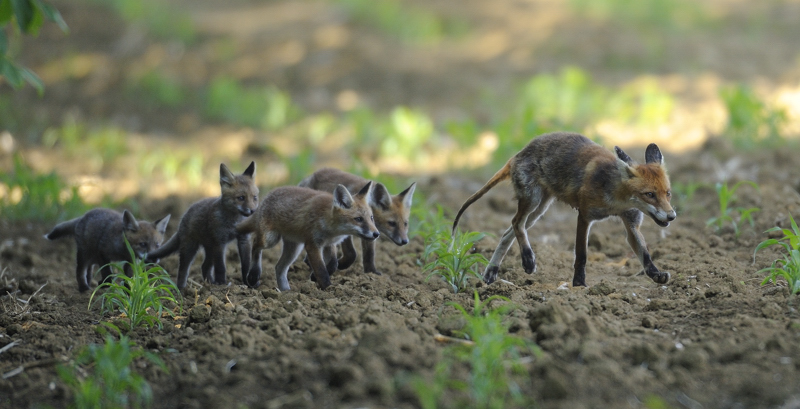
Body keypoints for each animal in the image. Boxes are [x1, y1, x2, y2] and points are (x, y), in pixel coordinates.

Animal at [454, 132, 672, 286]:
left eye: (668, 193)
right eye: (649, 194)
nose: (672, 216)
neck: (617, 201)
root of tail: (519, 153)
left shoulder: (631, 224)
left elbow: (645, 255)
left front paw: (656, 274)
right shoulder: (584, 216)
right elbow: (581, 256)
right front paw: (579, 284)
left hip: (539, 209)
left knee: (508, 232)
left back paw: (491, 273)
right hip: (532, 201)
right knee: (516, 223)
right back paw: (527, 260)